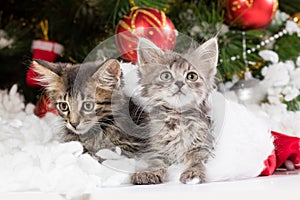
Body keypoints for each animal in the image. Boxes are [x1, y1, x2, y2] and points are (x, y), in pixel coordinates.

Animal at [131, 37, 218, 184]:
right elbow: (155, 162)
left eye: (192, 76)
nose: (179, 83)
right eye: (166, 76)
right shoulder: (157, 148)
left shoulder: (203, 145)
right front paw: (148, 173)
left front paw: (193, 174)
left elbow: (197, 161)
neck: (177, 118)